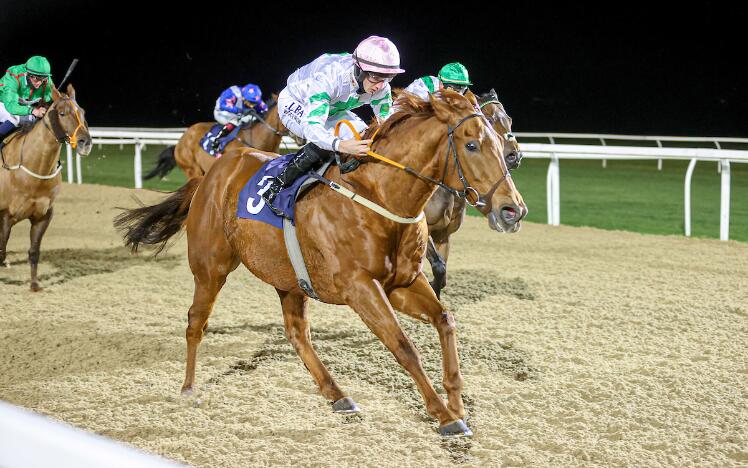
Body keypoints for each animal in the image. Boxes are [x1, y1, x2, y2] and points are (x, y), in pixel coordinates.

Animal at [0, 83, 91, 288]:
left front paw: (34, 285)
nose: (85, 143)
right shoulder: (5, 215)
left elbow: (34, 251)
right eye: (62, 113)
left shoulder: (43, 215)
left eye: (82, 112)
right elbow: (1, 250)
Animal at [424, 89, 524, 298]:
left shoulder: (444, 234)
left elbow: (441, 274)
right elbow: (436, 267)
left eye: (509, 119)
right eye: (490, 120)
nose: (515, 156)